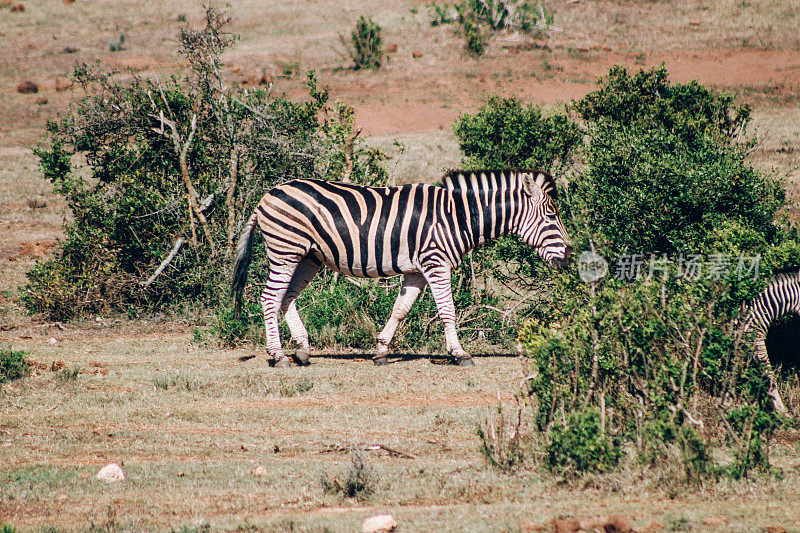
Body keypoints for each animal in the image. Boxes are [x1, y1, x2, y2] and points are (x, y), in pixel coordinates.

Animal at [228, 169, 572, 366]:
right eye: (551, 217)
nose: (569, 258)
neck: (458, 216)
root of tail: (265, 197)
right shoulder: (436, 262)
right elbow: (447, 311)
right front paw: (459, 354)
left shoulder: (416, 270)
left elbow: (400, 310)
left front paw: (381, 352)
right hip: (285, 249)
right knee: (270, 298)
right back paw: (278, 356)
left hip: (308, 256)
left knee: (286, 298)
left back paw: (301, 350)